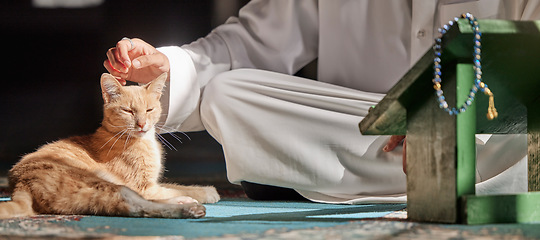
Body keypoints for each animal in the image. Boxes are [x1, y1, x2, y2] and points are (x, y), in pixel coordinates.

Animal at [0, 73, 219, 219]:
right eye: (128, 111)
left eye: (149, 110)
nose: (142, 124)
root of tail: (20, 183)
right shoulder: (145, 186)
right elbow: (177, 188)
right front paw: (206, 192)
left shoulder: (150, 185)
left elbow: (172, 186)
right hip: (102, 182)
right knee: (135, 204)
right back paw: (187, 207)